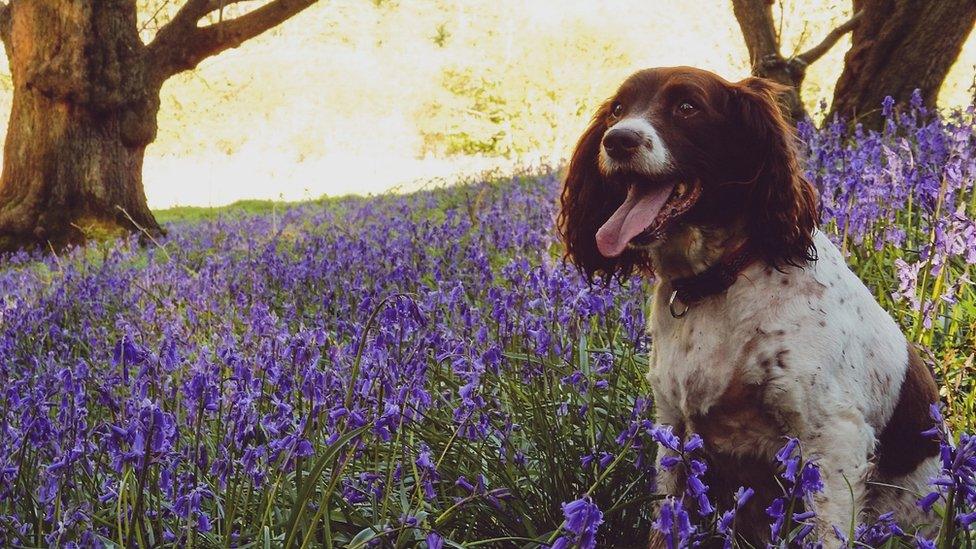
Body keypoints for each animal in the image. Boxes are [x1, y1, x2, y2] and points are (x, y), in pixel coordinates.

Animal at [560, 66, 940, 540]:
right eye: (616, 108)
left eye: (687, 106)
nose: (617, 140)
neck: (716, 284)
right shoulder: (673, 424)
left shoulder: (833, 436)